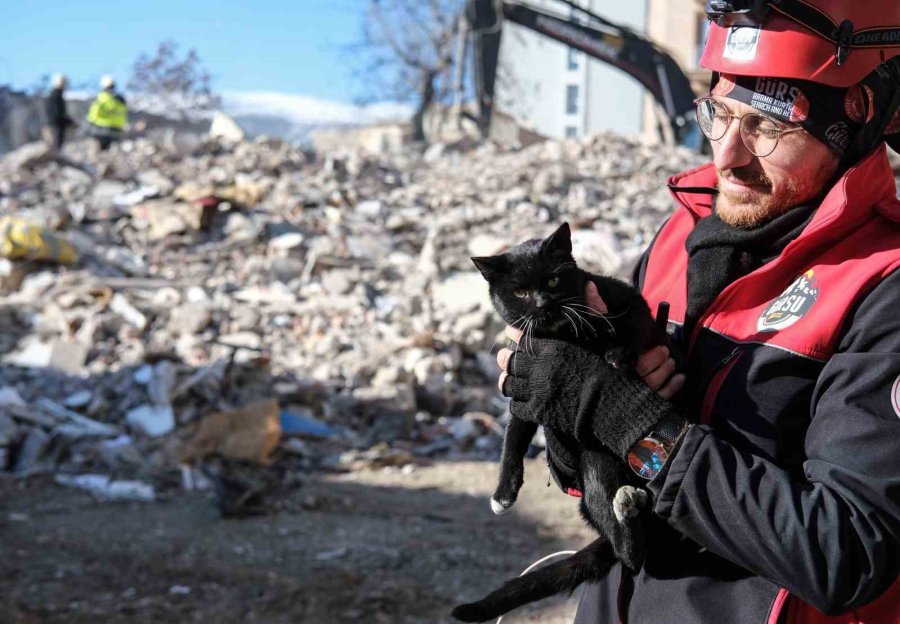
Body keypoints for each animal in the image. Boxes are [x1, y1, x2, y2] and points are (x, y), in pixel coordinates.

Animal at [454, 222, 664, 620]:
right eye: (520, 291)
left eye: (552, 280)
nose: (541, 303)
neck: (561, 334)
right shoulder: (524, 382)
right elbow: (513, 437)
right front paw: (503, 493)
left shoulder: (626, 300)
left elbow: (635, 326)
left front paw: (616, 356)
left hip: (597, 460)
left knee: (633, 558)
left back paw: (627, 511)